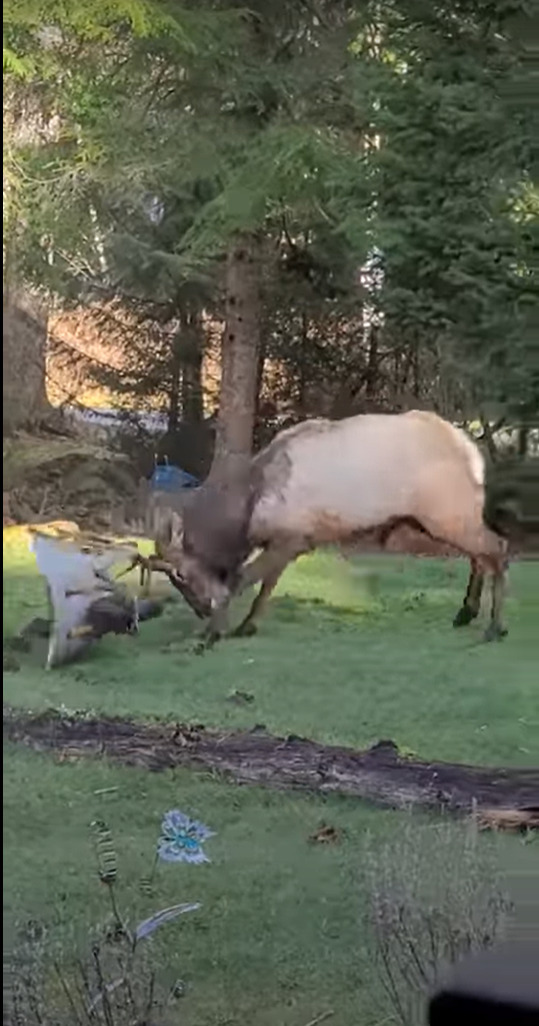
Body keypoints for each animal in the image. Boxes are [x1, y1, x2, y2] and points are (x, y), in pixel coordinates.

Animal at [134, 412, 509, 644]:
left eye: (181, 573)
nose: (200, 610)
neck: (248, 513)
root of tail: (472, 451)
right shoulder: (292, 542)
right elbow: (267, 587)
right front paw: (245, 626)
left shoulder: (290, 538)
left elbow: (243, 580)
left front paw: (213, 633)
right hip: (445, 517)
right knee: (481, 555)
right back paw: (466, 612)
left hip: (444, 513)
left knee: (497, 549)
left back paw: (494, 626)